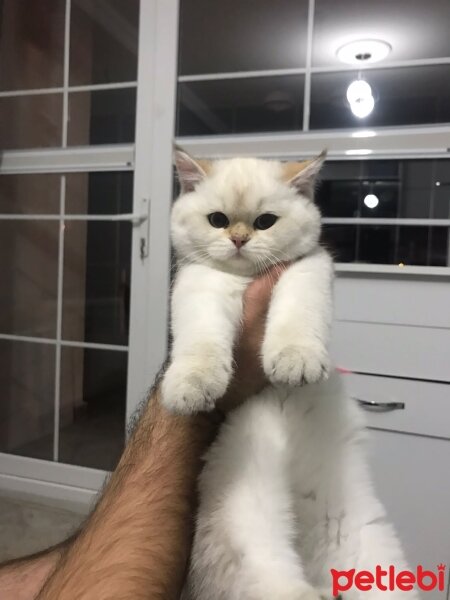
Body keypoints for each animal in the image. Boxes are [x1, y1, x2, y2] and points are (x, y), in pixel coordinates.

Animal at [161, 149, 414, 600]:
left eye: (265, 222)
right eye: (218, 220)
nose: (239, 240)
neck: (246, 281)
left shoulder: (307, 270)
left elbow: (298, 316)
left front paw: (295, 362)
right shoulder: (200, 286)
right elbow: (201, 341)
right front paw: (190, 386)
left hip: (363, 543)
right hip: (246, 534)